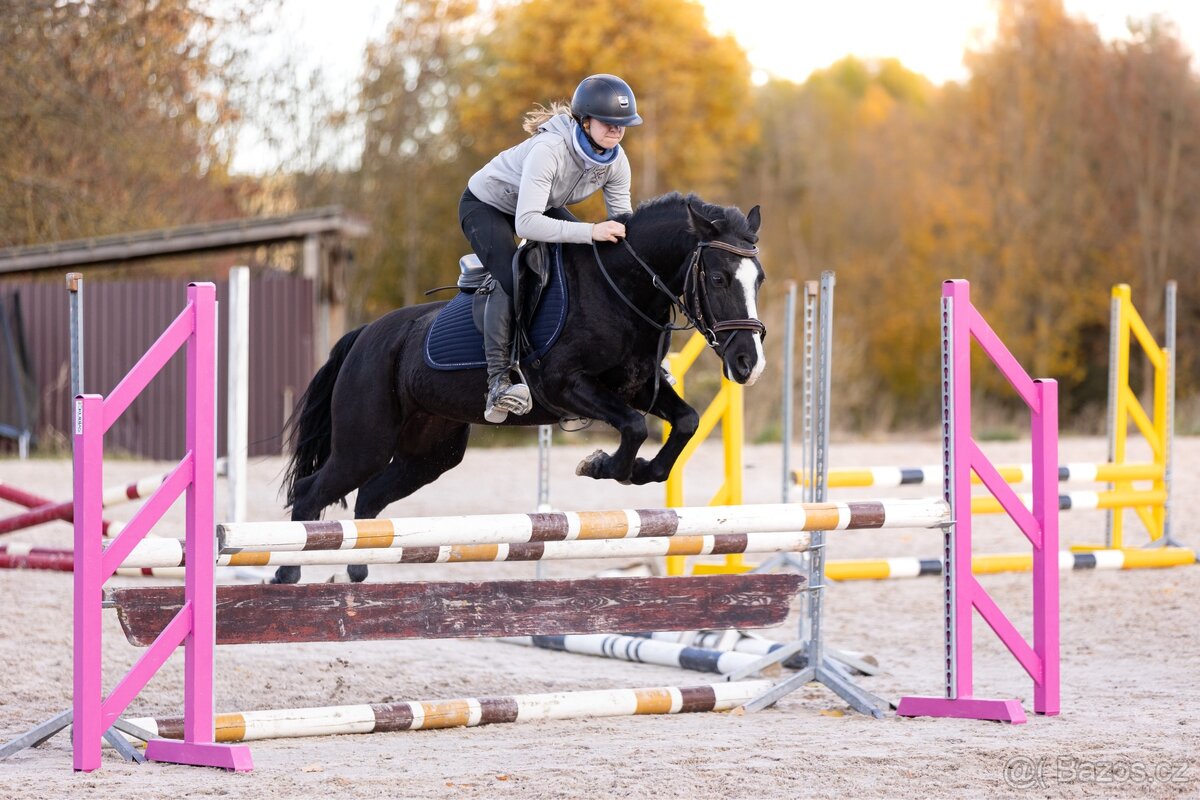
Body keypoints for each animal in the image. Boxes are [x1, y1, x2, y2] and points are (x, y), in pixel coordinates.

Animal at [274, 192, 766, 584]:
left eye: (758, 279)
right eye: (718, 278)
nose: (749, 363)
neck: (621, 289)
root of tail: (364, 336)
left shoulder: (639, 387)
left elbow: (685, 422)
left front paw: (640, 471)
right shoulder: (566, 385)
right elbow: (633, 428)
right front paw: (600, 465)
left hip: (430, 453)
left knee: (370, 496)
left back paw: (357, 568)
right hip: (365, 444)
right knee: (313, 491)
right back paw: (288, 573)